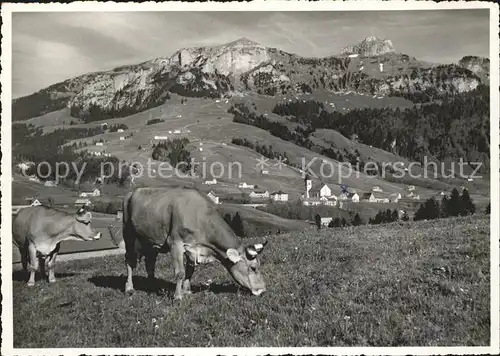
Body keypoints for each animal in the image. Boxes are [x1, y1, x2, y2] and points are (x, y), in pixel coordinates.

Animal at [122, 188, 268, 298]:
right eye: (253, 268)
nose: (262, 290)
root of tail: (132, 192)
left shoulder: (193, 249)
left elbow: (190, 270)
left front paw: (187, 291)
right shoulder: (175, 243)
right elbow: (180, 272)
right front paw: (178, 296)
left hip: (151, 240)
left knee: (150, 262)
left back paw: (152, 286)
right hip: (129, 235)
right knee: (130, 261)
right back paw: (129, 288)